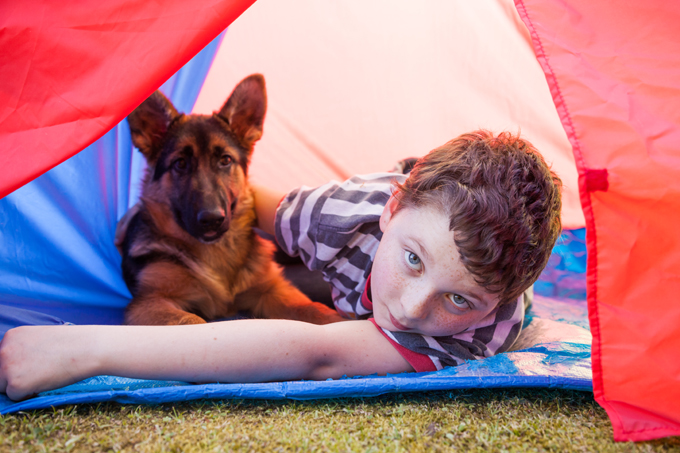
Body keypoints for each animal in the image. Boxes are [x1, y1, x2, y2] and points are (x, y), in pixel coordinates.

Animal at [117, 76, 346, 326]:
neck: (215, 253)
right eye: (180, 163)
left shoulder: (272, 289)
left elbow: (314, 309)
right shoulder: (151, 302)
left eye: (225, 160)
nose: (212, 219)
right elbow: (191, 321)